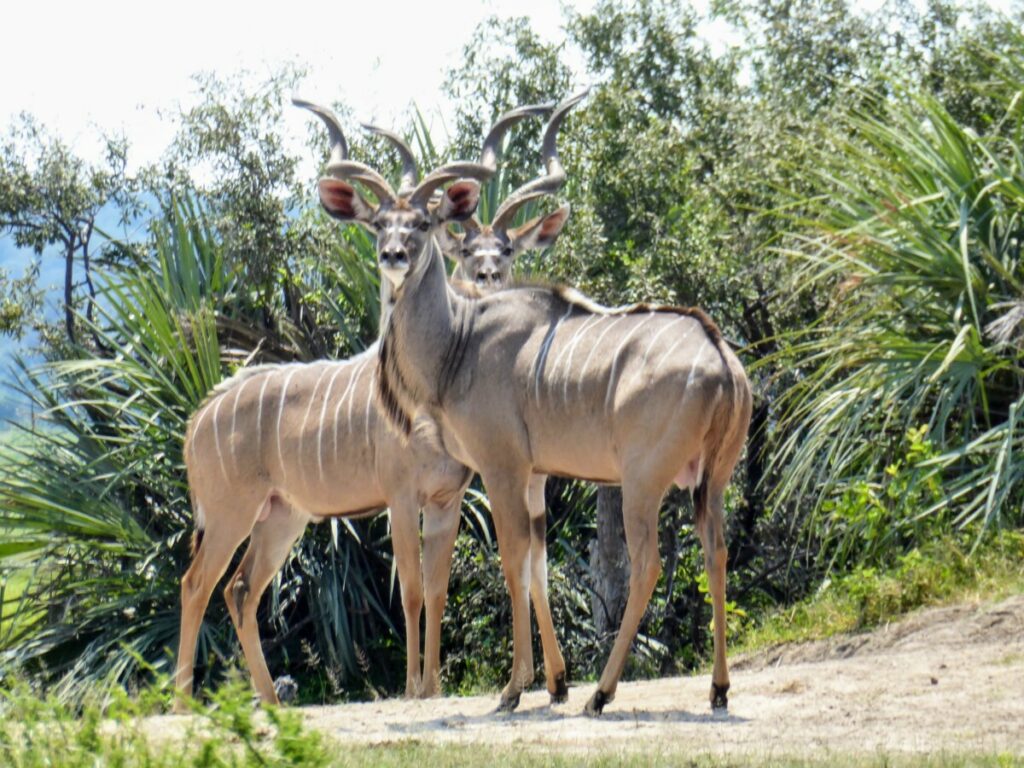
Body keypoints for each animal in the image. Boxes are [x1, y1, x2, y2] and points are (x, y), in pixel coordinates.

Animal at [313, 94, 753, 716]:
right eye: (378, 223)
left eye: (422, 222)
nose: (394, 255)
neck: (460, 341)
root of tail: (719, 357)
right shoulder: (534, 473)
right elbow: (535, 564)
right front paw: (550, 681)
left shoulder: (502, 466)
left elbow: (513, 559)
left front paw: (515, 688)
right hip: (712, 480)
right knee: (716, 552)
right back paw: (716, 688)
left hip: (643, 481)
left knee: (648, 565)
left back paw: (601, 693)